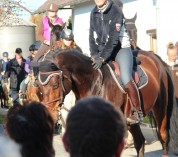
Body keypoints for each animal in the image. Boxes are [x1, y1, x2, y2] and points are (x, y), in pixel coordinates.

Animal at [27, 48, 177, 156]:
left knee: (163, 137)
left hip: (160, 109)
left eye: (55, 85)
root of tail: (155, 58)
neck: (94, 83)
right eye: (38, 86)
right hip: (132, 122)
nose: (49, 115)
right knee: (140, 142)